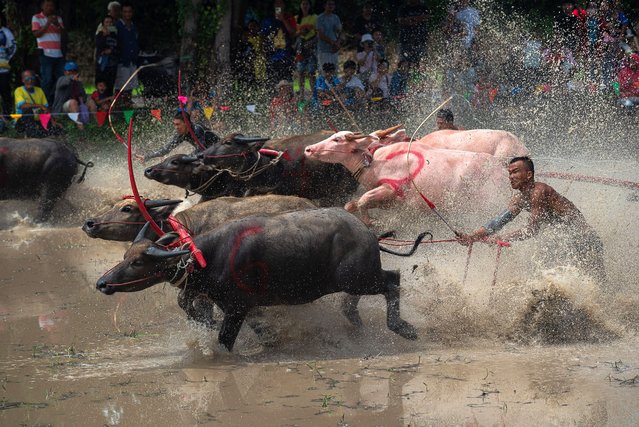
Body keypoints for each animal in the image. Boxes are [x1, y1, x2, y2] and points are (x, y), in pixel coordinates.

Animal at [96, 209, 424, 352]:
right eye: (125, 256)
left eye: (138, 262)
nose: (102, 283)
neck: (205, 256)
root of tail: (368, 233)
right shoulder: (242, 307)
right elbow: (261, 330)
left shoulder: (236, 308)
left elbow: (224, 341)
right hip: (355, 279)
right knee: (365, 294)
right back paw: (354, 320)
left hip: (358, 277)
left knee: (393, 280)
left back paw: (403, 328)